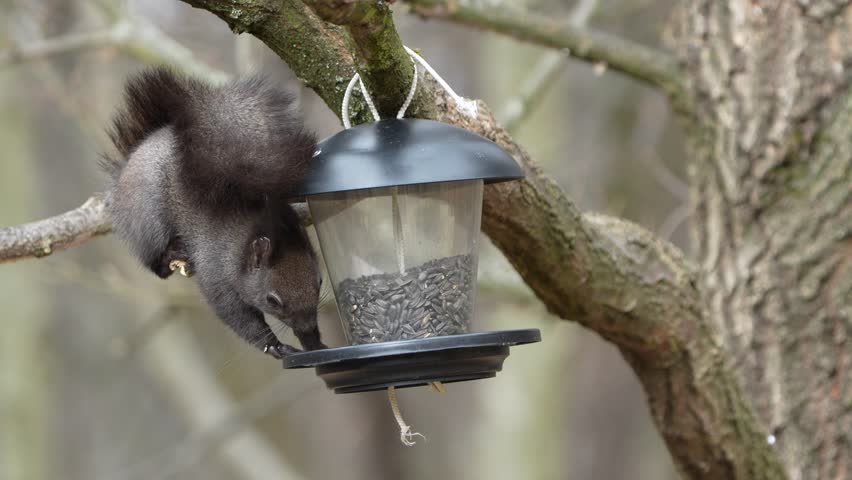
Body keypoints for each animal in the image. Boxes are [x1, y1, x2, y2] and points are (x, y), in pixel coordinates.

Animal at [102, 66, 327, 359]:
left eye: (320, 282)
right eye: (272, 300)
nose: (309, 327)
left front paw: (314, 344)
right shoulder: (216, 272)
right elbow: (234, 314)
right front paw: (273, 345)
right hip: (148, 219)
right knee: (155, 263)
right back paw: (173, 253)